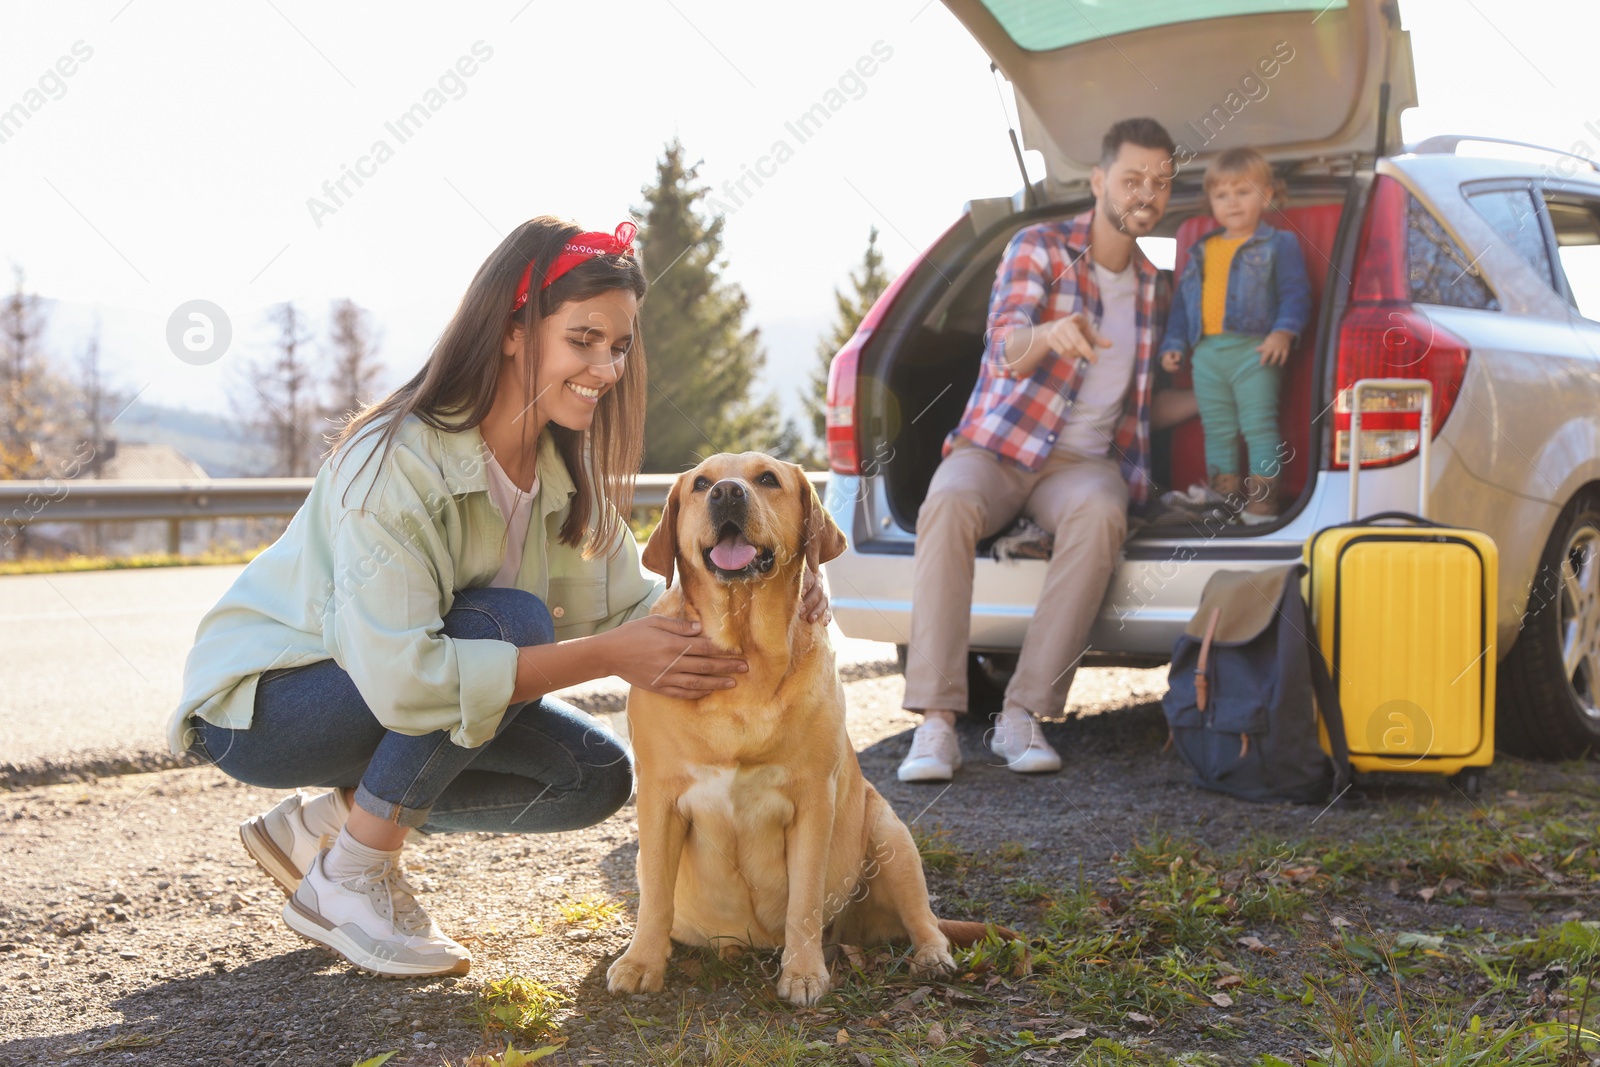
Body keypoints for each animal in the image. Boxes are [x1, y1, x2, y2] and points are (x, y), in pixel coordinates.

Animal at [604, 454, 966, 1004]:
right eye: (701, 483)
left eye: (767, 479)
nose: (727, 493)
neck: (744, 654)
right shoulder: (658, 797)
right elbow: (656, 894)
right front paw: (642, 962)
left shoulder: (814, 800)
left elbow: (805, 900)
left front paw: (803, 973)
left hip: (891, 835)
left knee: (925, 919)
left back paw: (931, 958)